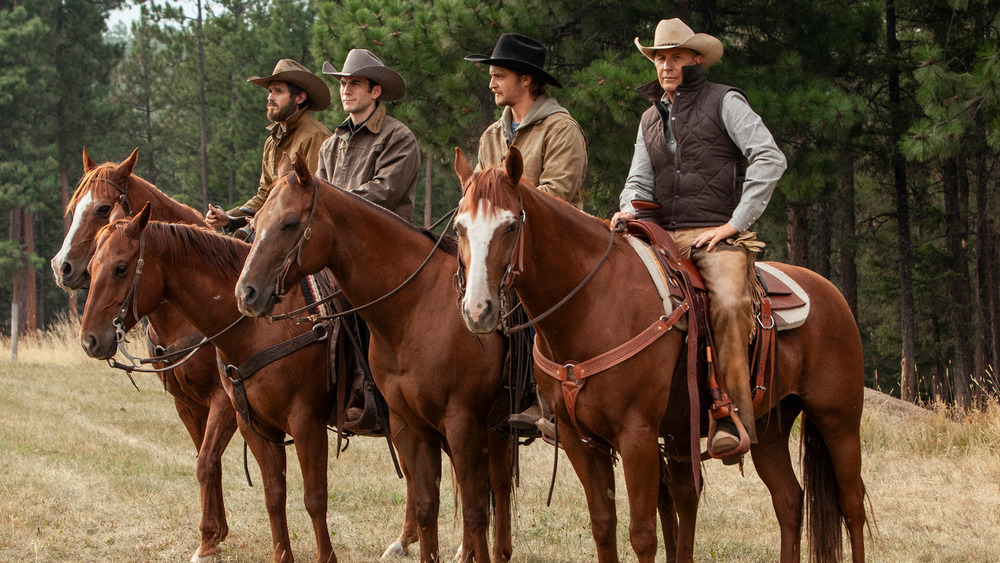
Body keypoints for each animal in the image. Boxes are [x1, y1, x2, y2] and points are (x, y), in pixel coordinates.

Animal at [51, 148, 237, 560]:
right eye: (73, 207)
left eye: (104, 208)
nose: (62, 267)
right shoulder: (187, 403)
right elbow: (207, 461)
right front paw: (215, 536)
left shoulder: (226, 400)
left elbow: (206, 462)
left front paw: (208, 542)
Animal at [235, 155, 516, 563]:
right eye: (255, 225)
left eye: (288, 222)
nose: (246, 293)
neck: (418, 305)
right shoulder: (411, 424)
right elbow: (428, 505)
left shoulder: (462, 423)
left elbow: (474, 508)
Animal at [454, 149, 868, 563]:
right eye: (459, 227)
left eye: (510, 226)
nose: (478, 310)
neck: (592, 304)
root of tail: (832, 294)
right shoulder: (579, 439)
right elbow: (603, 526)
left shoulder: (636, 434)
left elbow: (643, 534)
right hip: (769, 429)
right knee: (789, 501)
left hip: (838, 421)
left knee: (852, 506)